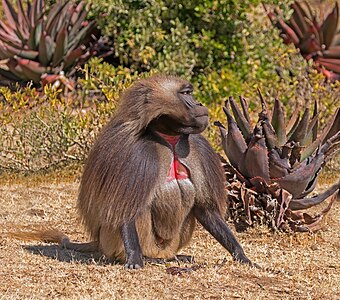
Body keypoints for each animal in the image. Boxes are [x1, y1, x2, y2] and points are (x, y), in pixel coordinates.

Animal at [11, 75, 254, 270]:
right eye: (186, 94)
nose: (200, 104)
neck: (169, 138)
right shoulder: (135, 153)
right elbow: (125, 209)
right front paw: (134, 258)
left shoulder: (197, 149)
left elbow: (206, 209)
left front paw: (241, 255)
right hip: (113, 241)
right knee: (138, 208)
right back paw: (147, 258)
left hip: (172, 243)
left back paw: (177, 258)